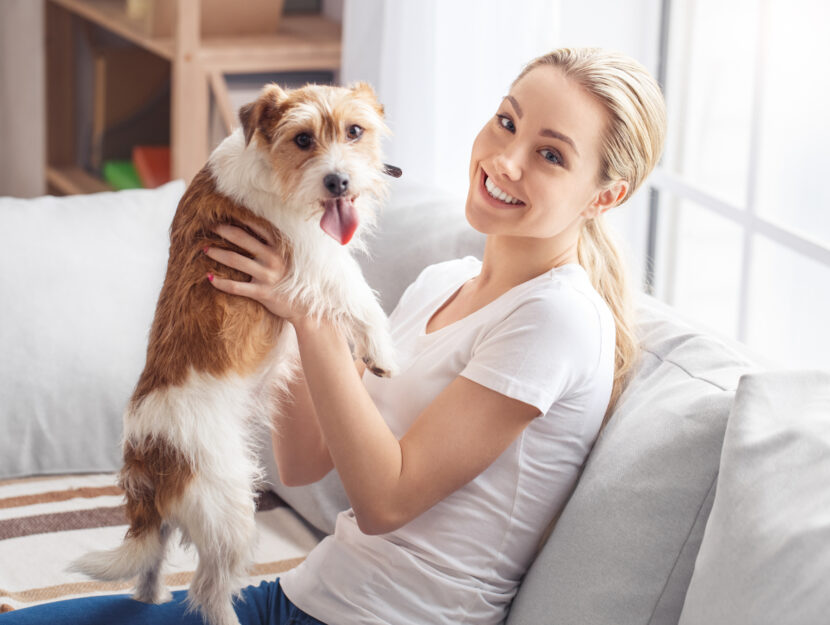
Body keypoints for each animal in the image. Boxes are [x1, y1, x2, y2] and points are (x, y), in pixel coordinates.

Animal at [70, 81, 402, 624]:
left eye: (356, 131)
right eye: (303, 139)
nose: (338, 182)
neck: (269, 164)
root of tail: (148, 455)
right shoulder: (316, 258)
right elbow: (360, 295)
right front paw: (382, 352)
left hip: (179, 520)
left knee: (153, 559)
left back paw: (149, 597)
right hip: (230, 513)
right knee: (207, 588)